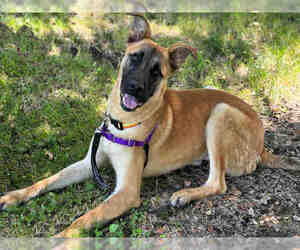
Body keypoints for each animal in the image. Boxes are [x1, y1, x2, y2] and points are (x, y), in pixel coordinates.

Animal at [0, 14, 298, 237]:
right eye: (135, 57)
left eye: (157, 72)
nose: (134, 87)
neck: (122, 122)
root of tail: (262, 146)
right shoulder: (88, 163)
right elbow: (46, 181)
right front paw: (14, 196)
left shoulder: (127, 192)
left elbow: (85, 218)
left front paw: (61, 239)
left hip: (220, 113)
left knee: (219, 182)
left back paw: (185, 194)